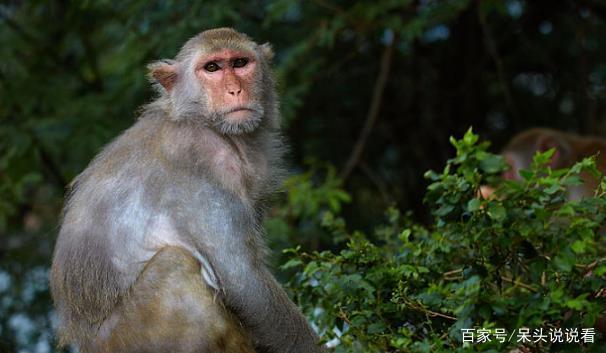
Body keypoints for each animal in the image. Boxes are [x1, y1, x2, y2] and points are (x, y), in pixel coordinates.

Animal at [50, 28, 326, 352]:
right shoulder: (207, 163)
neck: (205, 122)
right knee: (176, 265)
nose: (235, 90)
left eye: (240, 62)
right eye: (212, 68)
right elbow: (244, 281)